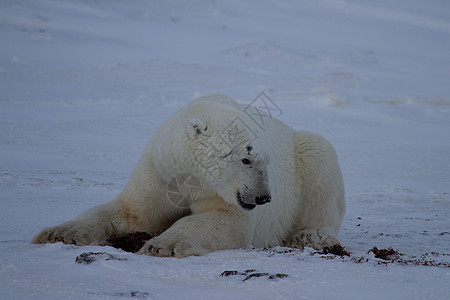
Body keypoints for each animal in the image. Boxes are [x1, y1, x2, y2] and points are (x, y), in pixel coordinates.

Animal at [32, 94, 344, 258]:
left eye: (266, 162)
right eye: (245, 159)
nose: (264, 197)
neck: (190, 175)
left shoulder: (217, 192)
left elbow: (225, 221)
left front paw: (163, 245)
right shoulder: (161, 171)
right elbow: (132, 212)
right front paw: (60, 233)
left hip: (303, 155)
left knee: (320, 159)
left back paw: (310, 235)